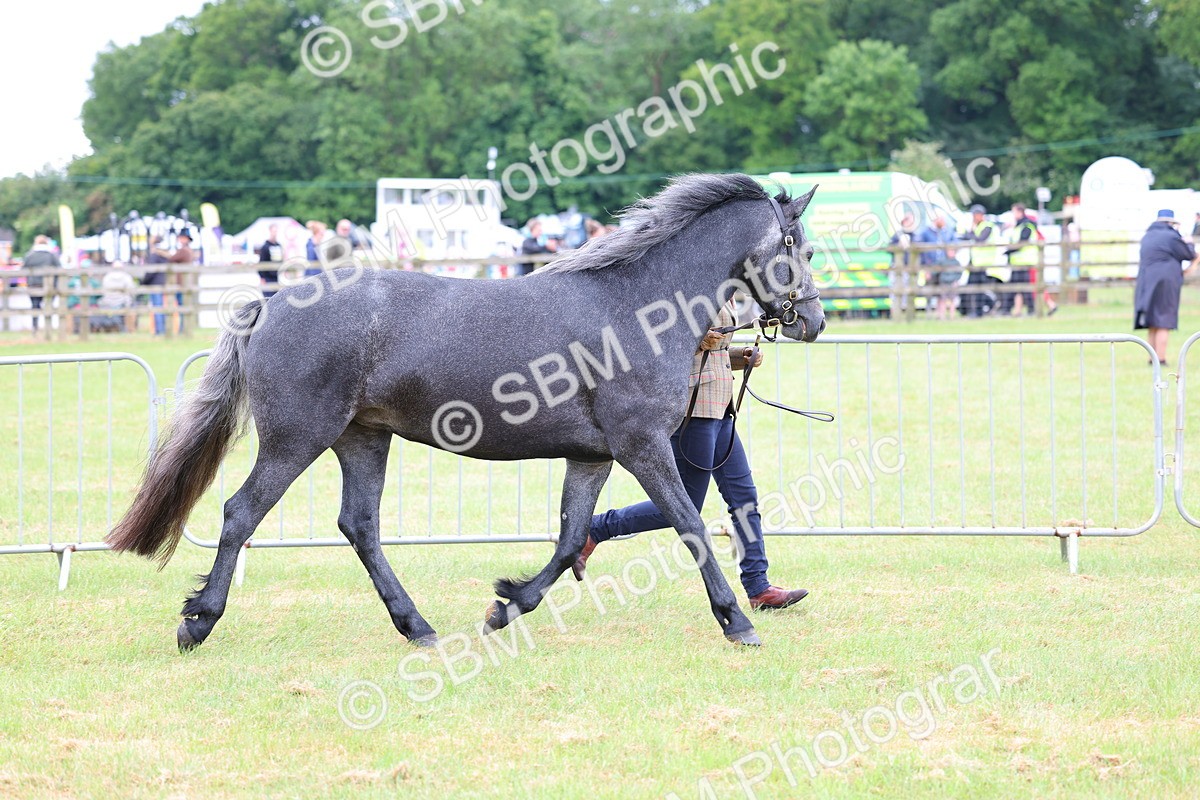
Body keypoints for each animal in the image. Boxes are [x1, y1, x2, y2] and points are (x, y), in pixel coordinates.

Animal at [106, 173, 824, 650]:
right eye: (803, 249)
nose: (813, 321)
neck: (638, 305)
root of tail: (272, 302)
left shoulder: (593, 456)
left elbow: (570, 538)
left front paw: (506, 606)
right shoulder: (642, 446)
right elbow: (692, 526)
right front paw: (737, 622)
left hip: (362, 439)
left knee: (359, 526)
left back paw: (417, 626)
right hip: (296, 439)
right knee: (240, 514)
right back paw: (198, 620)